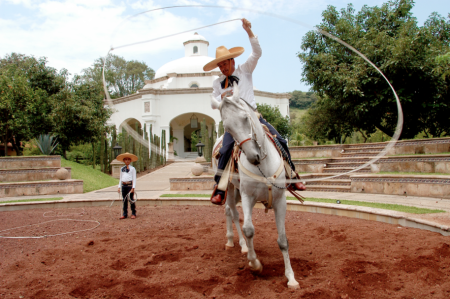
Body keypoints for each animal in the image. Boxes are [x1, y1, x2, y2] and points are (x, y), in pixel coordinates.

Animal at [211, 83, 298, 290]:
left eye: (245, 118)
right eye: (228, 127)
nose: (253, 156)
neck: (263, 166)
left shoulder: (280, 201)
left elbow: (283, 240)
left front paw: (291, 278)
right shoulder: (248, 197)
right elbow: (249, 229)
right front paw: (255, 264)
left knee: (229, 211)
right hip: (230, 188)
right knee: (232, 213)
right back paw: (238, 244)